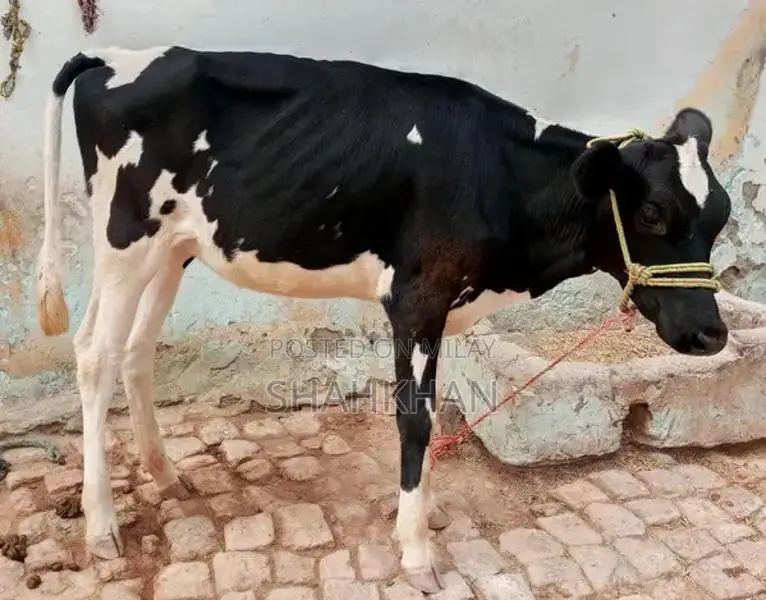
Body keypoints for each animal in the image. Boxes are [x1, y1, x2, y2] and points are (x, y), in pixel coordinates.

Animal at [36, 46, 731, 593]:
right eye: (651, 214)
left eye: (720, 216)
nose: (712, 334)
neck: (497, 176)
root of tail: (113, 57)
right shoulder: (417, 298)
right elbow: (415, 419)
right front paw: (417, 551)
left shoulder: (444, 306)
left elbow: (435, 407)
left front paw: (427, 510)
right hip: (125, 239)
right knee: (95, 353)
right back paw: (102, 526)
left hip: (172, 248)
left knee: (135, 350)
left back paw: (166, 475)